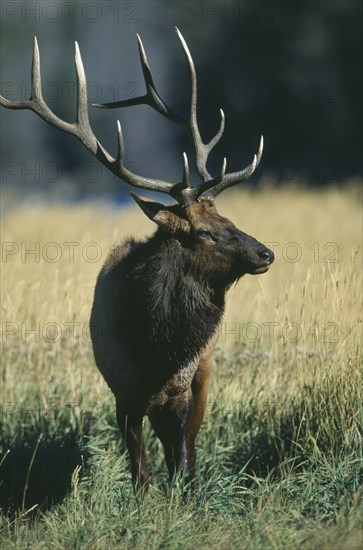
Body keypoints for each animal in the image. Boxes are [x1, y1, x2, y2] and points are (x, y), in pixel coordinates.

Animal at [0, 29, 272, 488]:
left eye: (229, 219)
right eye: (205, 231)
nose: (265, 252)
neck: (154, 349)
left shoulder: (182, 388)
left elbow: (182, 458)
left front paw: (182, 493)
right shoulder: (122, 392)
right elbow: (139, 470)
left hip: (204, 371)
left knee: (187, 442)